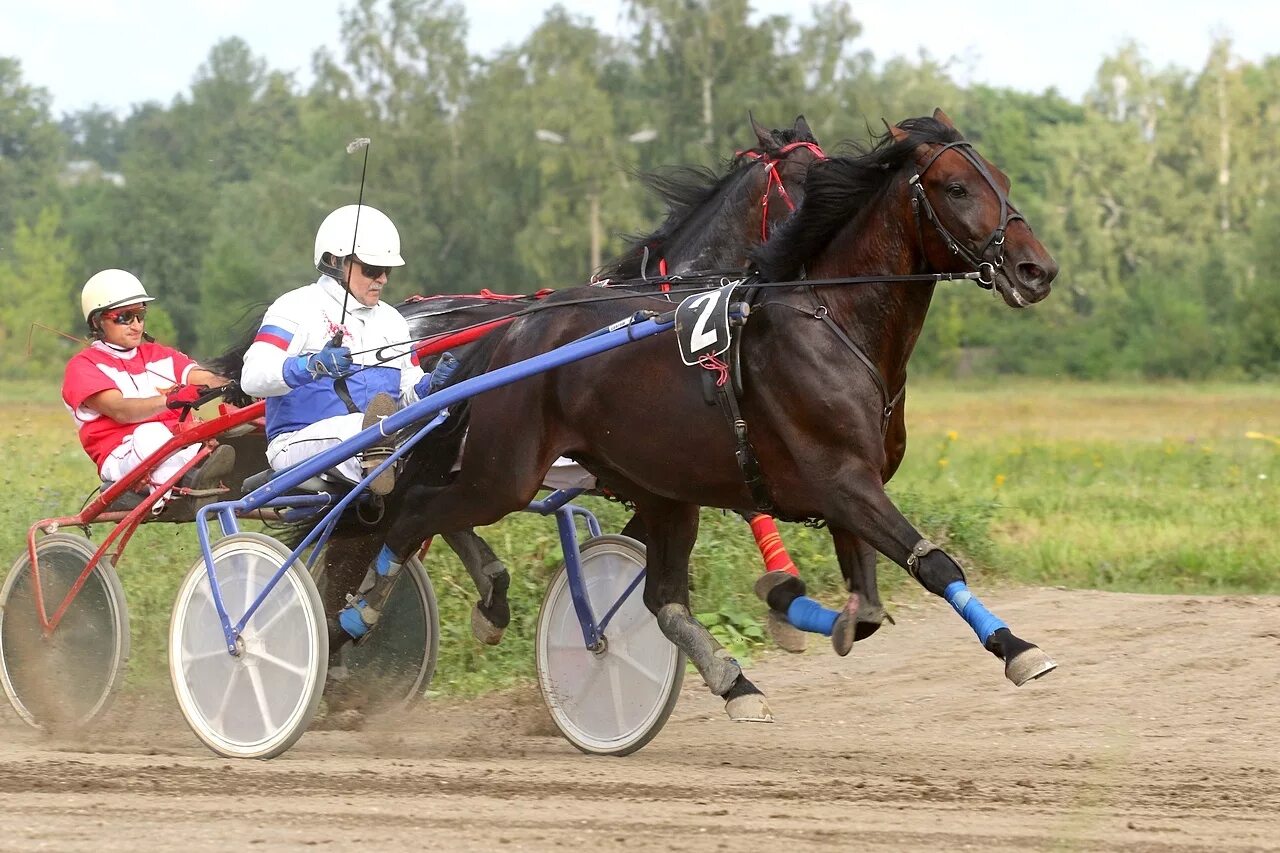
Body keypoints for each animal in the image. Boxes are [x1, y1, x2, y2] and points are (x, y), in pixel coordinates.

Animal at [371, 108, 1059, 717]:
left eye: (1002, 179)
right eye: (958, 187)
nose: (1037, 269)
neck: (832, 322)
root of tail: (514, 331)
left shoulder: (835, 486)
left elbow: (862, 604)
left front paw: (798, 610)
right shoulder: (835, 478)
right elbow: (931, 561)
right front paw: (1017, 648)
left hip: (640, 482)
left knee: (647, 592)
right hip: (504, 473)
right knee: (413, 513)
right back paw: (379, 609)